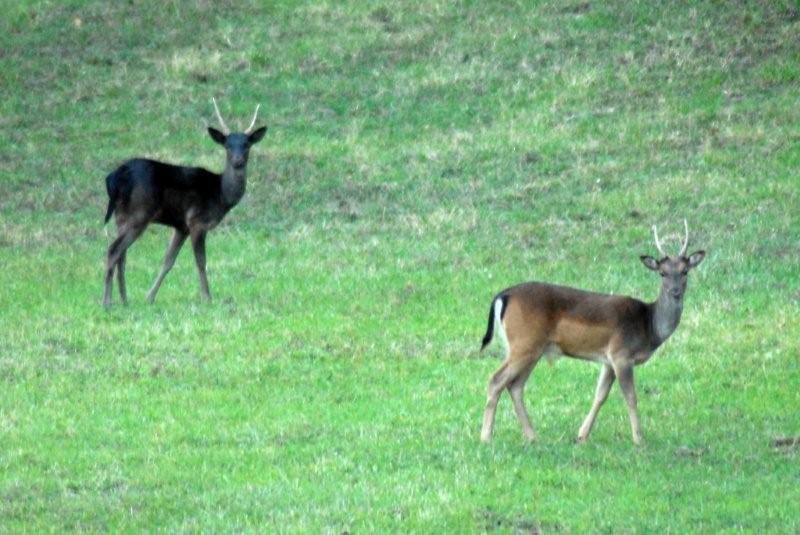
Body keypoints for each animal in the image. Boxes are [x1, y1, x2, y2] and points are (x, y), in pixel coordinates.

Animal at [101, 98, 266, 308]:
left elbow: (168, 261)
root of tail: (114, 178)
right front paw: (207, 297)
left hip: (121, 215)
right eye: (228, 145)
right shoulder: (197, 221)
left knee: (122, 256)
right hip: (139, 213)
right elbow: (201, 262)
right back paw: (107, 302)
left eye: (247, 145)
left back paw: (124, 299)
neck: (220, 195)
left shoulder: (181, 226)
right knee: (113, 251)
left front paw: (149, 297)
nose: (238, 161)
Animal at [478, 220, 704, 446]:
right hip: (524, 342)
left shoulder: (608, 360)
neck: (648, 327)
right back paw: (486, 437)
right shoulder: (621, 353)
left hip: (532, 348)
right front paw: (639, 439)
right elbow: (631, 397)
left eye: (685, 271)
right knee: (496, 380)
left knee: (515, 386)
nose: (675, 291)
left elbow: (600, 395)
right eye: (662, 273)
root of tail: (503, 295)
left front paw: (582, 435)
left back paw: (532, 436)